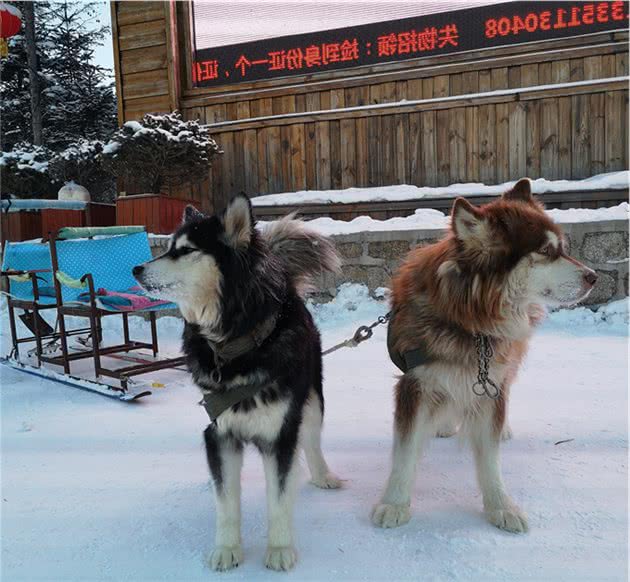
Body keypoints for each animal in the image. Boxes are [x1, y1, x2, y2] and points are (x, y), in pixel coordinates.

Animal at [131, 196, 346, 576]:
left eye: (185, 250)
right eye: (168, 248)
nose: (136, 269)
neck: (234, 344)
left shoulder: (279, 434)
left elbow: (278, 499)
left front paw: (279, 549)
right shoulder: (219, 433)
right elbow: (226, 501)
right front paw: (227, 549)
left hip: (313, 400)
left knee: (311, 439)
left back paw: (322, 474)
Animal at [372, 180, 600, 536]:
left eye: (562, 248)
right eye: (545, 252)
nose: (593, 277)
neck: (471, 321)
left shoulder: (491, 383)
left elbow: (490, 456)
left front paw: (500, 505)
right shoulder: (415, 384)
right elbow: (406, 451)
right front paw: (394, 502)